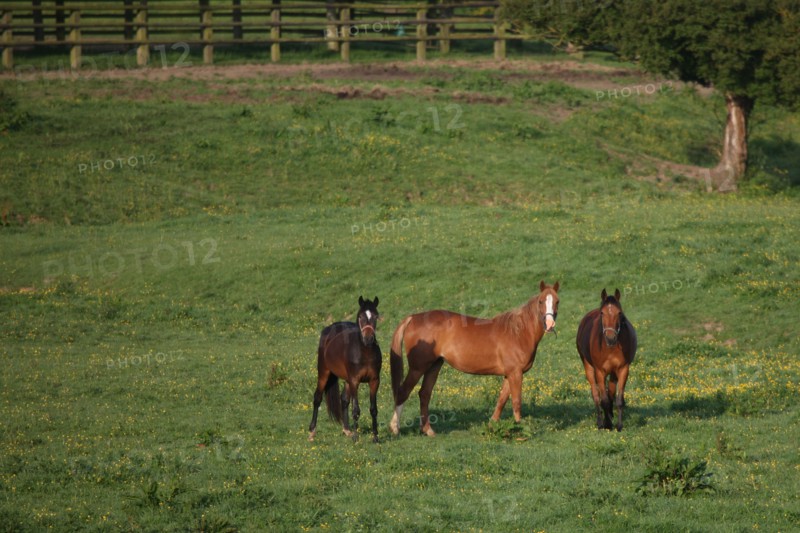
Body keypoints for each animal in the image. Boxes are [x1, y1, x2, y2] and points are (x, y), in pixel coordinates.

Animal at [308, 296, 381, 443]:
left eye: (376, 316)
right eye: (360, 316)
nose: (368, 339)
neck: (365, 352)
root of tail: (329, 328)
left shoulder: (374, 381)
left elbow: (373, 409)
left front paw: (375, 437)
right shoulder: (355, 381)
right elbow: (356, 410)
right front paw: (356, 437)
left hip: (347, 380)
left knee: (344, 399)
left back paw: (347, 429)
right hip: (324, 373)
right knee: (317, 398)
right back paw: (312, 432)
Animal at [389, 281, 560, 436]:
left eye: (557, 301)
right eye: (541, 301)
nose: (550, 324)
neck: (518, 332)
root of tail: (413, 318)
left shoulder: (510, 374)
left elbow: (501, 400)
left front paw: (492, 425)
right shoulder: (516, 373)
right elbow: (516, 402)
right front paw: (519, 430)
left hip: (434, 366)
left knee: (424, 394)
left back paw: (428, 430)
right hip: (418, 368)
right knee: (403, 392)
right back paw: (395, 429)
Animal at [576, 288, 637, 431]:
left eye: (619, 313)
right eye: (602, 313)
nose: (610, 338)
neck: (610, 349)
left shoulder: (623, 369)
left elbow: (618, 399)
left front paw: (619, 425)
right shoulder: (599, 371)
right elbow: (603, 399)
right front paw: (607, 424)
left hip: (613, 373)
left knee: (611, 393)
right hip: (588, 367)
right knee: (596, 395)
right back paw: (600, 422)